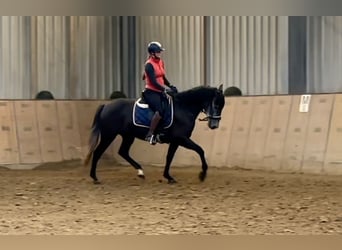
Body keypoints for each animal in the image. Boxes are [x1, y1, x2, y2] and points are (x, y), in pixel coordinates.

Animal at [84, 84, 226, 184]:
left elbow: (169, 157)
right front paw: (202, 174)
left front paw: (168, 177)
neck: (184, 107)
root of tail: (106, 106)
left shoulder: (176, 141)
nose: (214, 125)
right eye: (216, 104)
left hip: (128, 136)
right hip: (109, 135)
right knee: (98, 152)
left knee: (123, 152)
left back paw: (140, 172)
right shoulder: (182, 138)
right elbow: (200, 150)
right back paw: (94, 177)